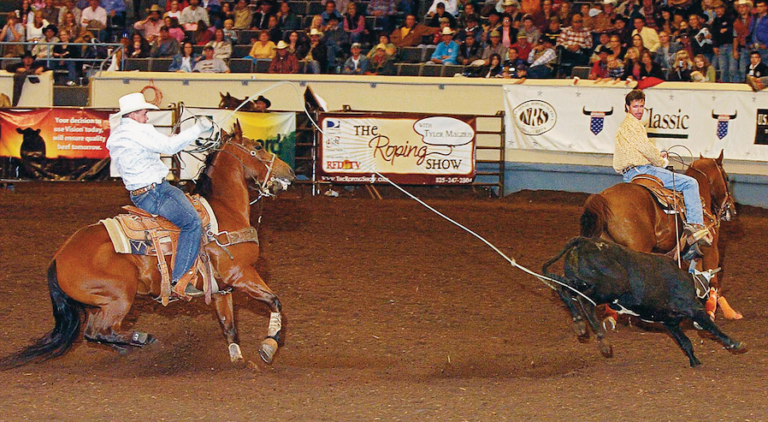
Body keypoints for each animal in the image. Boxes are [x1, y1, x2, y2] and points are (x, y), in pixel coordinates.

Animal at [0, 120, 296, 368]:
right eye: (258, 147)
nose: (291, 171)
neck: (225, 211)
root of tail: (58, 258)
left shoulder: (222, 289)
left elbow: (229, 327)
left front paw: (239, 360)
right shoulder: (241, 274)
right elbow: (275, 301)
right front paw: (268, 347)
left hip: (101, 303)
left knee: (95, 333)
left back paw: (129, 346)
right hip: (120, 296)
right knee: (99, 331)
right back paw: (143, 339)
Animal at [584, 152, 736, 320]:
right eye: (726, 177)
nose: (732, 210)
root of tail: (603, 198)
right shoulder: (711, 249)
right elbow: (714, 281)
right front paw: (713, 311)